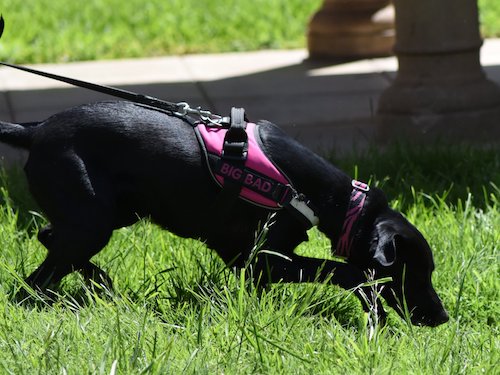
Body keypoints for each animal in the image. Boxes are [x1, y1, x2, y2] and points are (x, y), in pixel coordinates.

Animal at [0, 101, 448, 328]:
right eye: (413, 272)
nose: (443, 318)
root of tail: (34, 130)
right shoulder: (264, 259)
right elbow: (347, 272)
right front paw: (375, 313)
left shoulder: (246, 262)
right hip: (93, 220)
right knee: (37, 279)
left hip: (115, 212)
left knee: (50, 239)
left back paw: (100, 283)